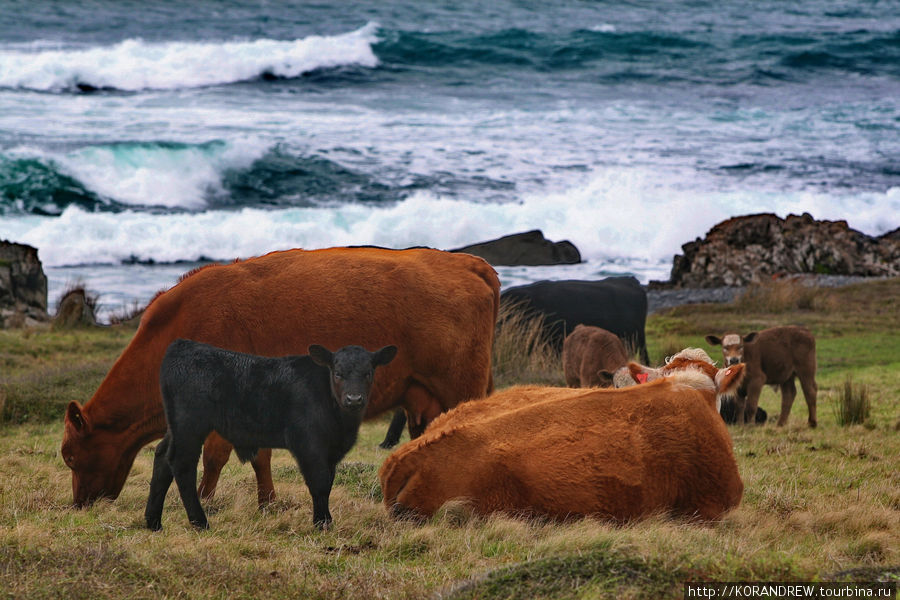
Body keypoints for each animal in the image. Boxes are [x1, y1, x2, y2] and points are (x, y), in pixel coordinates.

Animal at [61, 247, 500, 506]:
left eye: (69, 456)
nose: (79, 504)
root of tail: (468, 262)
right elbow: (260, 456)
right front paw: (267, 501)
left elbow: (216, 456)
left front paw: (205, 498)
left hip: (462, 387)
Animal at [146, 340, 396, 532]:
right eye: (338, 373)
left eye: (368, 373)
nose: (354, 399)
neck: (341, 424)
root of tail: (183, 345)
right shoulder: (308, 444)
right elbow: (319, 483)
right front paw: (322, 524)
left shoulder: (331, 451)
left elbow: (328, 483)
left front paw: (323, 521)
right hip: (190, 424)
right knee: (181, 464)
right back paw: (200, 522)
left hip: (177, 426)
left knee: (162, 456)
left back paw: (153, 522)